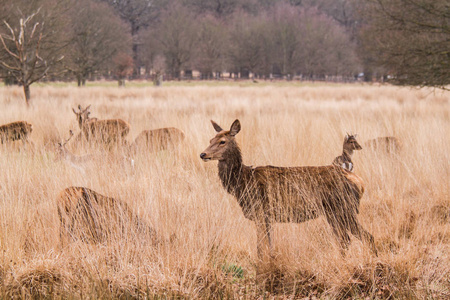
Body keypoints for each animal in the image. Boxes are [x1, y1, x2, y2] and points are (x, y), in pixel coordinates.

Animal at [200, 119, 376, 262]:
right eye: (210, 139)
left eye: (222, 141)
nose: (203, 154)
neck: (242, 182)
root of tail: (360, 183)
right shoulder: (268, 217)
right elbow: (268, 247)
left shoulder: (260, 213)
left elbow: (260, 249)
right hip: (333, 213)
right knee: (346, 240)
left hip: (344, 209)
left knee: (366, 237)